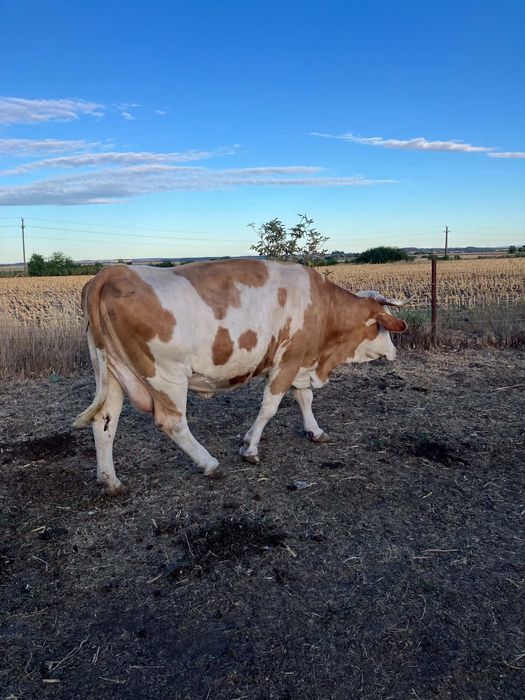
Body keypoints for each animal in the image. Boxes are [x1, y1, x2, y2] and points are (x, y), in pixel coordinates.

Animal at [74, 259, 408, 494]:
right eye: (383, 327)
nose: (394, 352)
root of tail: (111, 273)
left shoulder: (300, 361)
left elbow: (304, 398)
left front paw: (314, 431)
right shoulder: (287, 361)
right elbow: (270, 408)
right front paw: (250, 449)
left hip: (113, 373)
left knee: (104, 421)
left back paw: (110, 482)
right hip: (166, 376)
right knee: (172, 422)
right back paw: (210, 464)